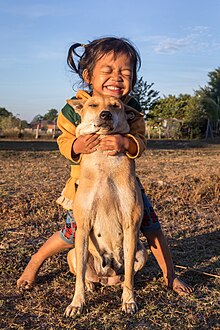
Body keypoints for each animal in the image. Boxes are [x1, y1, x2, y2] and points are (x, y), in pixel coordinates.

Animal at [64, 96, 147, 318]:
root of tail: (106, 277)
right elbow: (79, 277)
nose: (106, 114)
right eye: (93, 105)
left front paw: (129, 300)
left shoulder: (131, 227)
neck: (104, 161)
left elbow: (129, 273)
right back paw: (90, 285)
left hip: (142, 252)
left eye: (116, 106)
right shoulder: (83, 228)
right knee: (84, 275)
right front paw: (77, 303)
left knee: (126, 274)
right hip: (73, 253)